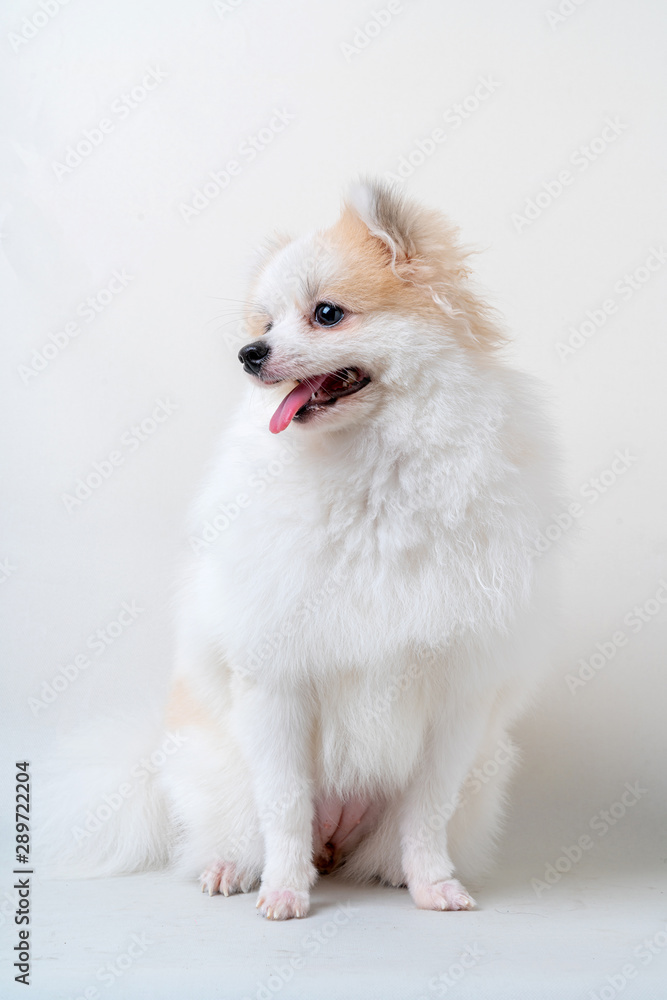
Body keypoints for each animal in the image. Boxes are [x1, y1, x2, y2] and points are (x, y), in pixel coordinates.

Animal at [44, 182, 560, 920]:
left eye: (326, 314)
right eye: (265, 322)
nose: (249, 352)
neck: (370, 475)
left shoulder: (456, 697)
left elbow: (427, 811)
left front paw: (433, 883)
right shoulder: (278, 686)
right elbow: (284, 807)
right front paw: (286, 891)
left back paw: (394, 873)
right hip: (220, 766)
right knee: (236, 828)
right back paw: (232, 869)